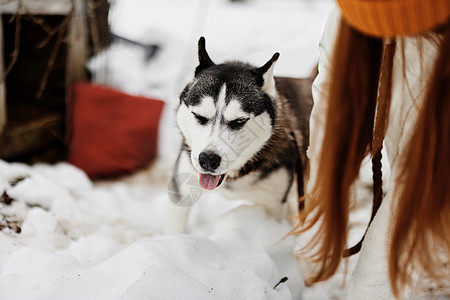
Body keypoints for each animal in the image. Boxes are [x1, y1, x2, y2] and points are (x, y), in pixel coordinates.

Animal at [165, 37, 312, 233]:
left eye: (239, 121)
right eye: (199, 116)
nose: (208, 159)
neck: (234, 176)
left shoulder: (274, 204)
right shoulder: (182, 188)